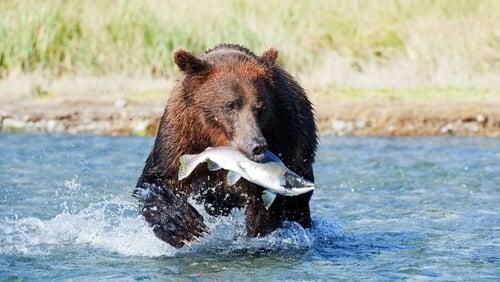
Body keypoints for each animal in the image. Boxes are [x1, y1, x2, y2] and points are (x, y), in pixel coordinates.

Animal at [134, 43, 316, 248]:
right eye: (231, 105)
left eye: (260, 107)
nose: (257, 145)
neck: (217, 139)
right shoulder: (180, 135)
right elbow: (157, 179)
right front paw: (183, 225)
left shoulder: (281, 135)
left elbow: (262, 209)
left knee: (299, 207)